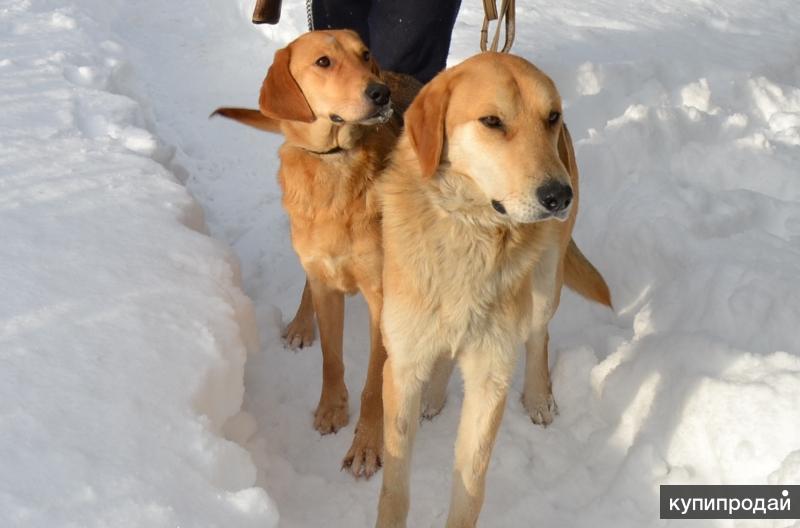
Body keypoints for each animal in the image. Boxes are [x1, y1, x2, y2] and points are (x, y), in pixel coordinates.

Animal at [376, 51, 612, 524]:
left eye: (551, 117)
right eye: (491, 121)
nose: (559, 196)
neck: (471, 231)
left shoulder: (491, 377)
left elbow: (470, 488)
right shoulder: (402, 366)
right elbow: (395, 487)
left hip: (546, 281)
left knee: (538, 335)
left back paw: (538, 397)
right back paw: (434, 396)